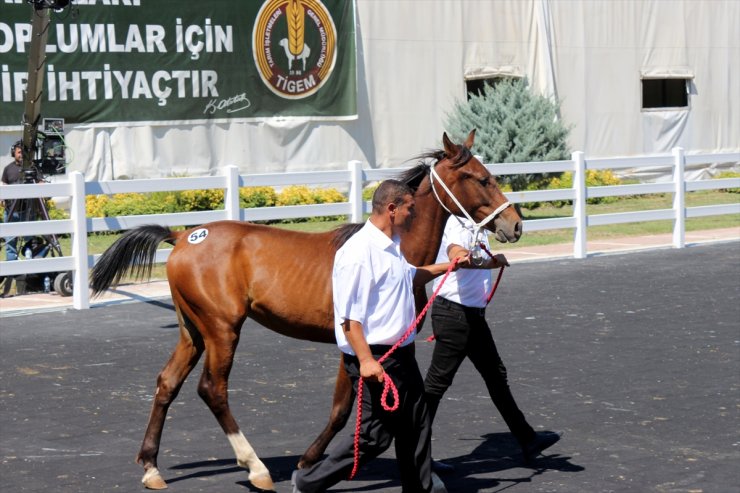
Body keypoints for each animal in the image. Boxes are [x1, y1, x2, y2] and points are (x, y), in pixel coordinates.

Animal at [89, 129, 524, 490]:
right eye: (482, 178)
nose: (515, 225)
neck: (395, 252)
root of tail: (183, 236)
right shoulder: (356, 343)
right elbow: (341, 409)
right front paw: (309, 462)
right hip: (221, 329)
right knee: (212, 389)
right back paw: (256, 469)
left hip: (191, 331)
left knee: (167, 383)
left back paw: (151, 467)